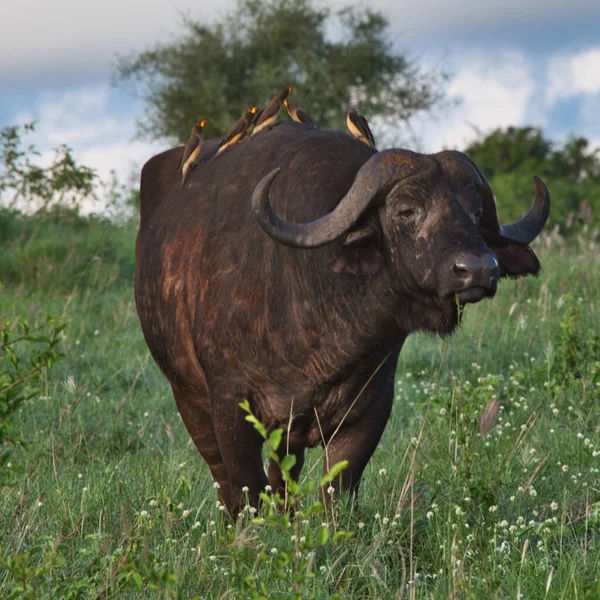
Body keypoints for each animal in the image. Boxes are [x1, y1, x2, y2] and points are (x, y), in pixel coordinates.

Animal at [135, 122, 548, 516]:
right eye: (406, 210)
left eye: (476, 213)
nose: (478, 268)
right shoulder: (229, 406)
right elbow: (245, 491)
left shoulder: (370, 410)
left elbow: (336, 492)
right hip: (188, 399)